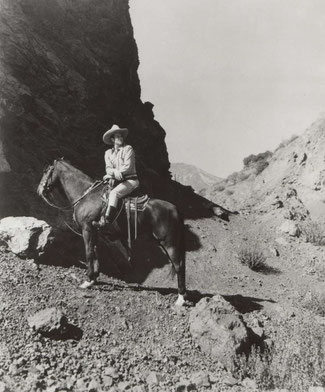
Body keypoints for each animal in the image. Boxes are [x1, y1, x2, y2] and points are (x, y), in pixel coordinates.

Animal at [37, 159, 186, 306]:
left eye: (45, 171)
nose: (39, 190)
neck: (85, 195)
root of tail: (175, 209)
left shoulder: (87, 229)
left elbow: (89, 253)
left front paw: (87, 281)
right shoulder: (95, 233)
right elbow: (96, 254)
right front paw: (94, 279)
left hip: (169, 243)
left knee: (178, 266)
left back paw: (180, 299)